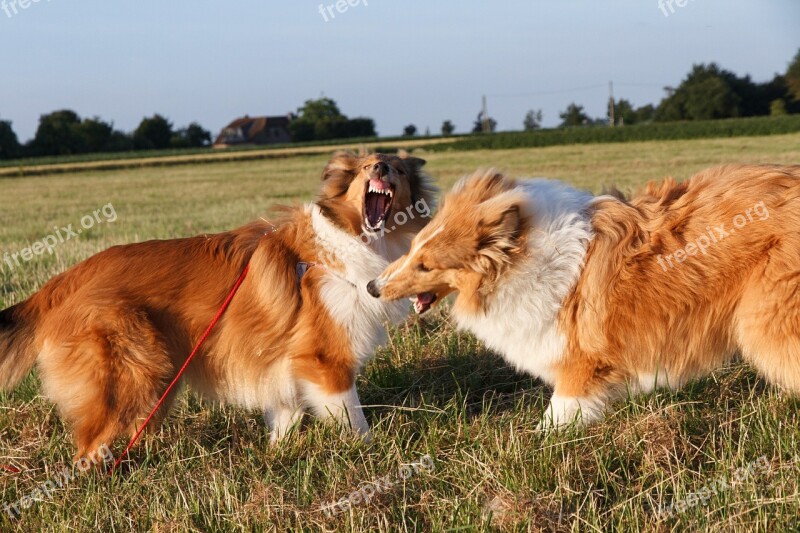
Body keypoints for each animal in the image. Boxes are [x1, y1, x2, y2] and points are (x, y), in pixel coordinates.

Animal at [0, 150, 438, 454]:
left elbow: (287, 412)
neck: (344, 243)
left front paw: (275, 453)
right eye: (365, 167)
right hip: (132, 372)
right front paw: (370, 451)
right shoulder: (325, 359)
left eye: (398, 170)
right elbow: (352, 415)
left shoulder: (286, 362)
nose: (380, 169)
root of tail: (66, 279)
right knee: (88, 444)